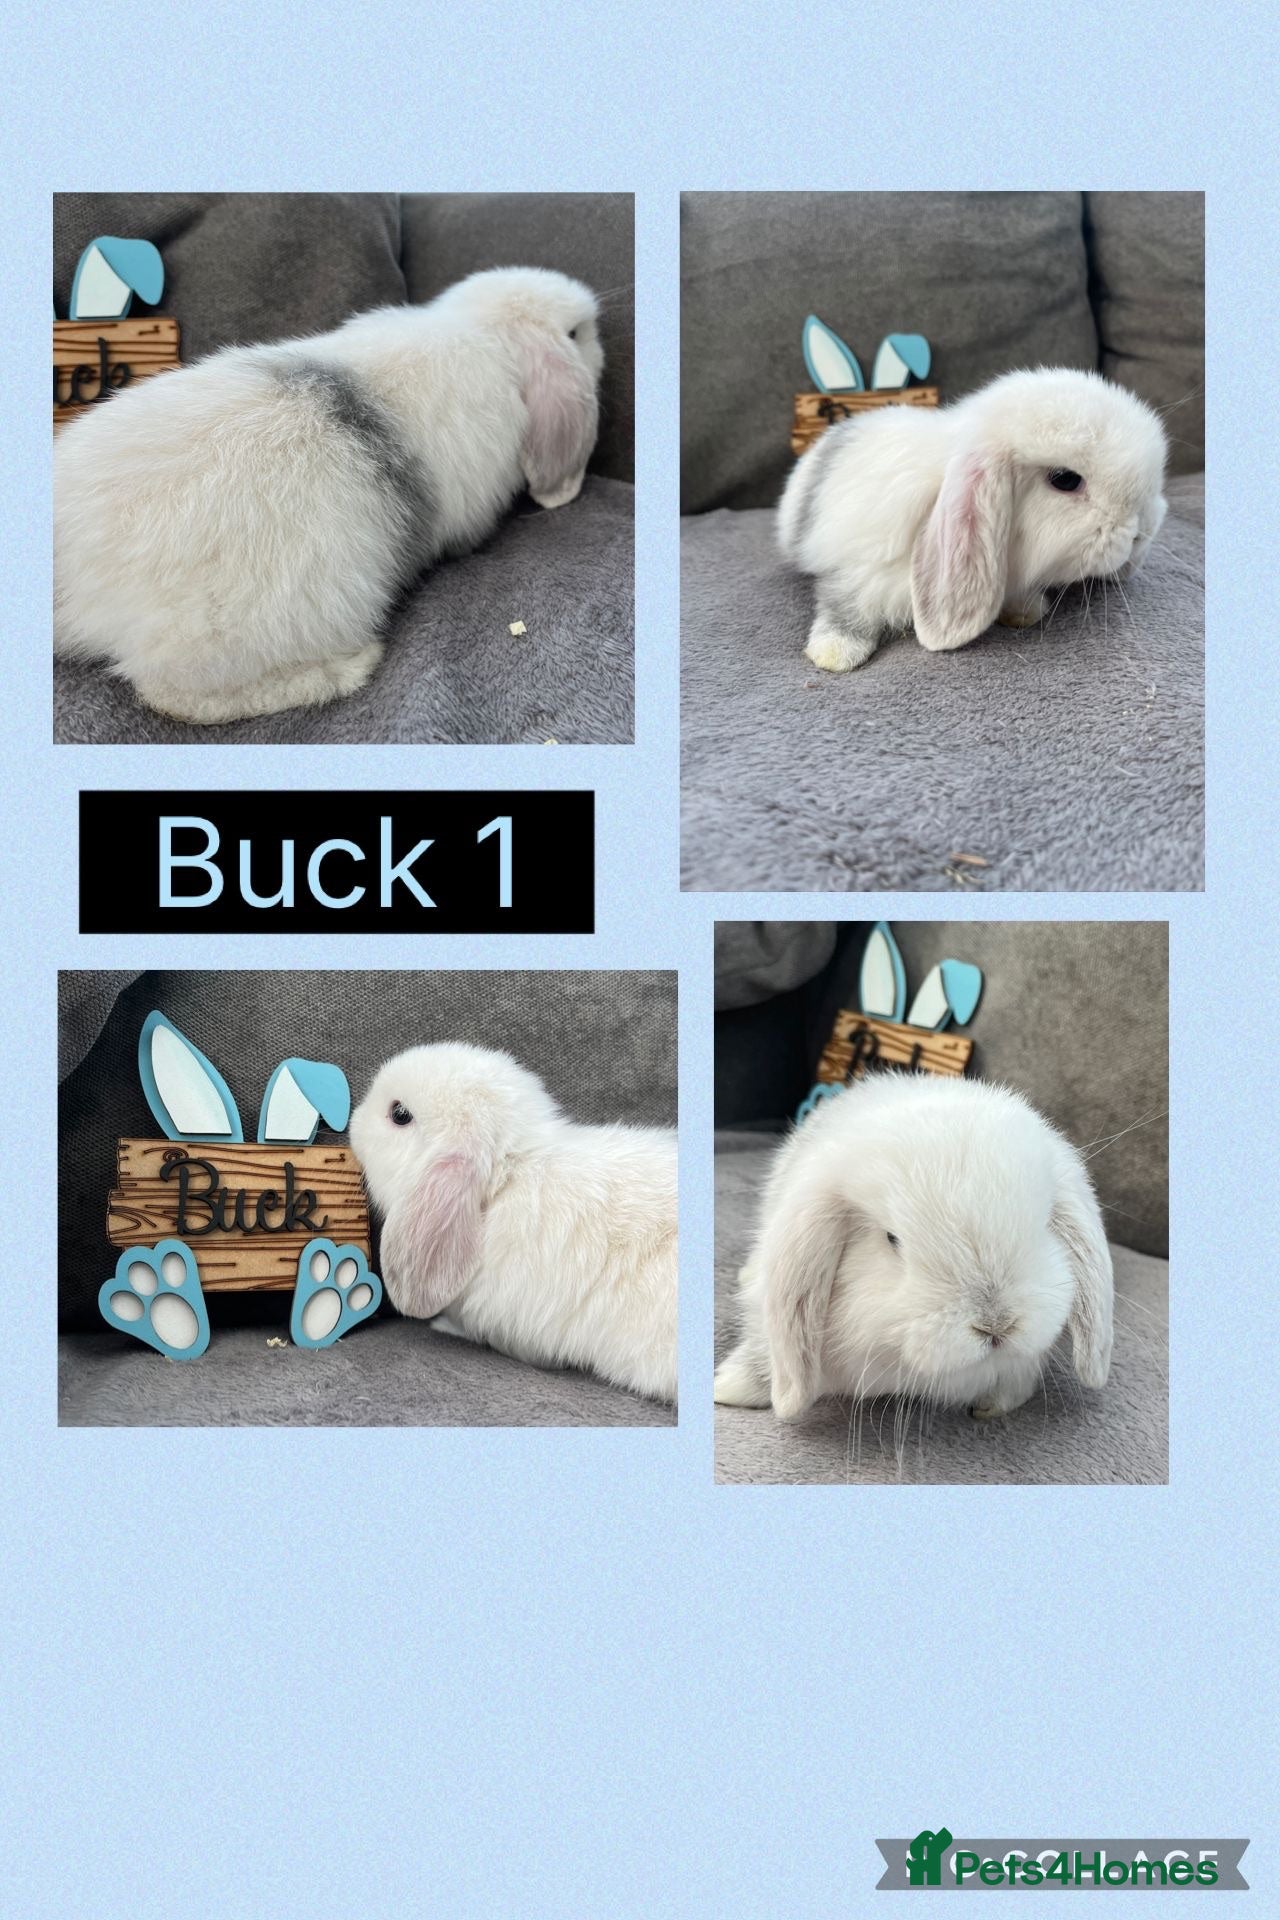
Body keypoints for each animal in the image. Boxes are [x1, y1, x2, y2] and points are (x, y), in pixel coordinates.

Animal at [54, 267, 603, 724]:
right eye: (577, 333)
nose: (601, 346)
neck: (483, 331)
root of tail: (77, 584)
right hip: (240, 631)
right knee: (175, 696)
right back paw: (350, 668)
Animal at [777, 367, 1168, 673]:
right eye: (1065, 479)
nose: (1144, 532)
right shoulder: (861, 569)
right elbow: (845, 603)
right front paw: (834, 653)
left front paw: (1025, 611)